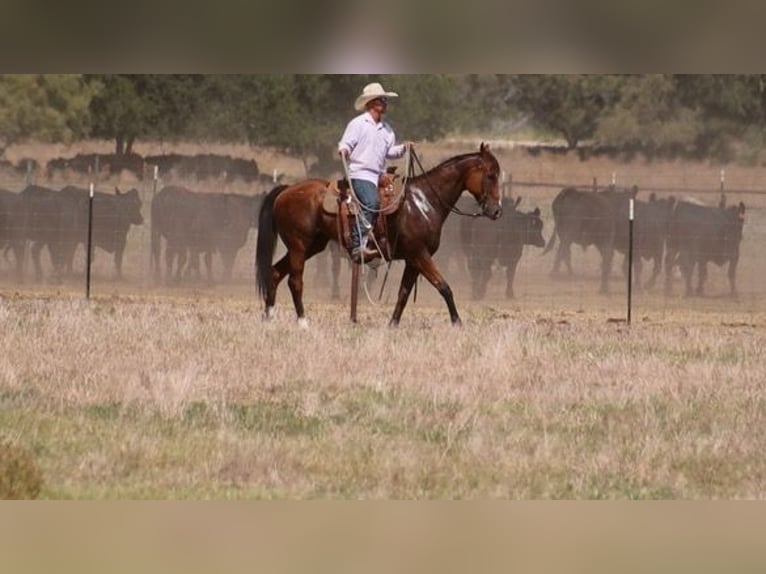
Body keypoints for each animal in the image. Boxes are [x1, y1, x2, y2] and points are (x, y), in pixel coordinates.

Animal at [256, 143, 504, 326]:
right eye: (491, 175)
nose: (496, 210)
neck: (423, 201)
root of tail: (286, 190)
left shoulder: (413, 260)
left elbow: (403, 293)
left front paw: (392, 325)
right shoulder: (420, 254)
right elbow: (444, 287)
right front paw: (457, 323)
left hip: (312, 245)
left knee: (275, 272)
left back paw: (269, 318)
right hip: (299, 245)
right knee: (295, 281)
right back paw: (303, 322)